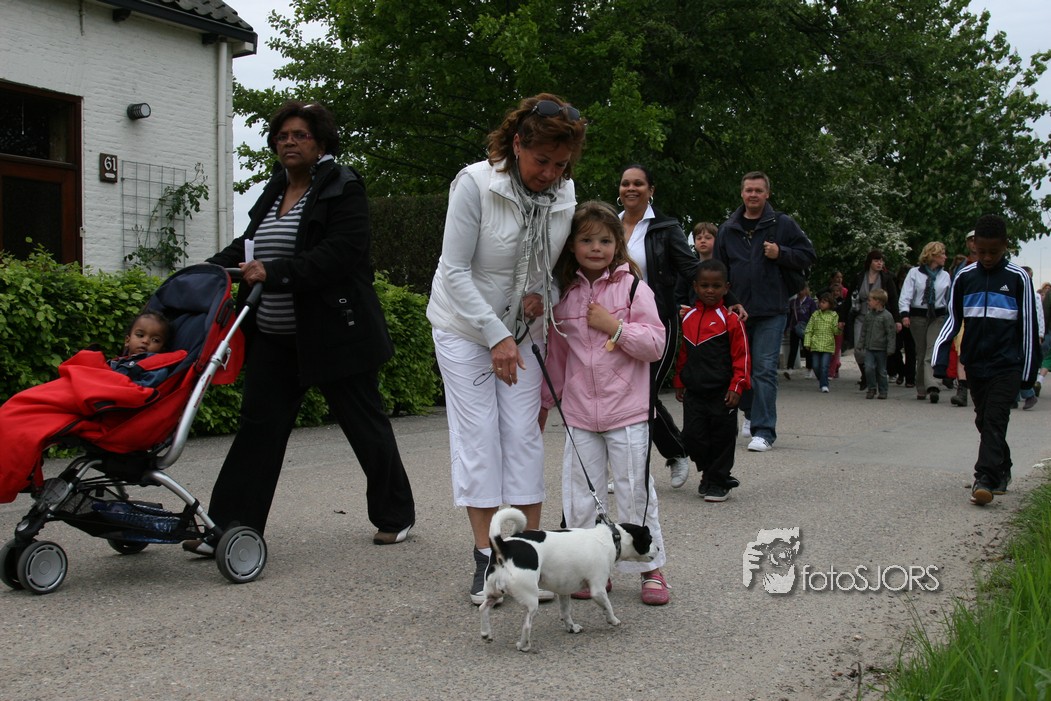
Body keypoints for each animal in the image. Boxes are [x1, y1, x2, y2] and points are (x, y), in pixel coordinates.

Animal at [479, 506, 658, 652]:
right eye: (649, 539)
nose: (658, 548)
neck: (611, 538)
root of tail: (504, 547)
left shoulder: (564, 590)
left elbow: (565, 612)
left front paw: (571, 627)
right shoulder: (598, 590)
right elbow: (608, 606)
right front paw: (613, 620)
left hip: (493, 593)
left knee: (483, 608)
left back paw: (486, 633)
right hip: (531, 600)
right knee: (527, 625)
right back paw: (524, 646)